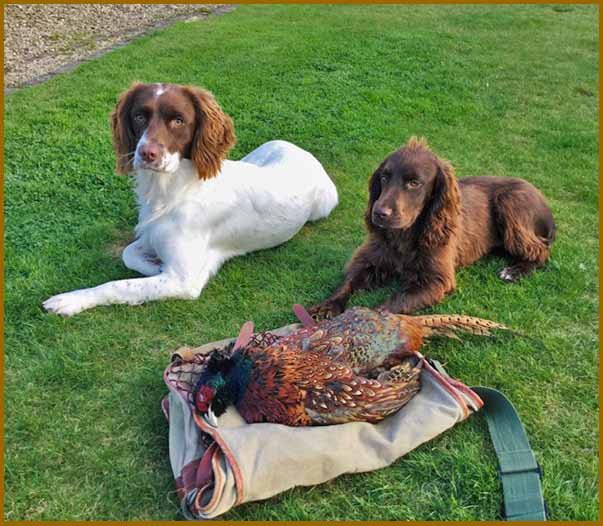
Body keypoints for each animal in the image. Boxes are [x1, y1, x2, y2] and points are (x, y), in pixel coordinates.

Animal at [44, 82, 338, 318]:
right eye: (139, 116)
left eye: (178, 120)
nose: (146, 153)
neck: (171, 192)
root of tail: (302, 152)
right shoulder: (151, 238)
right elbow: (129, 254)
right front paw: (154, 264)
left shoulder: (183, 280)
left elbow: (120, 285)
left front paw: (71, 299)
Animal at [310, 136, 560, 318]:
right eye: (384, 177)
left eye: (414, 183)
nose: (379, 214)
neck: (405, 237)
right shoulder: (370, 260)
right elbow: (348, 282)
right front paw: (327, 306)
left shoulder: (437, 280)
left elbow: (395, 301)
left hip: (510, 201)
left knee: (541, 250)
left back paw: (515, 270)